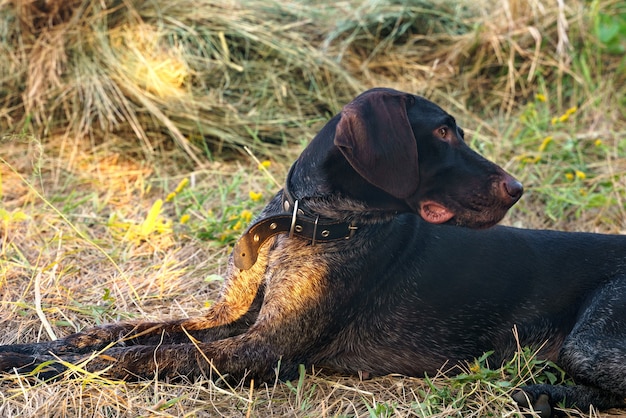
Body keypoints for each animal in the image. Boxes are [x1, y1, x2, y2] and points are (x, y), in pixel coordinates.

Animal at [1, 86, 624, 416]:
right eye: (444, 133)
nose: (518, 189)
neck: (305, 225)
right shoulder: (230, 318)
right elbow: (113, 333)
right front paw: (25, 351)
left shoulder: (263, 349)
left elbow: (133, 356)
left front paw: (49, 368)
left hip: (591, 340)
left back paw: (543, 391)